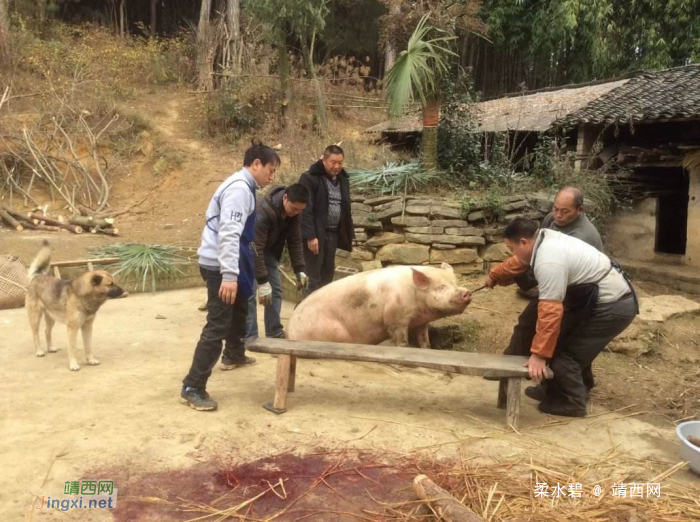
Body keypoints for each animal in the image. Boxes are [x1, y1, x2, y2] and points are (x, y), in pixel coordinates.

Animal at [25, 240, 124, 370]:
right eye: (110, 284)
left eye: (114, 282)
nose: (123, 290)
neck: (82, 295)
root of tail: (37, 276)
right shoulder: (72, 328)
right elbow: (72, 349)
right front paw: (73, 364)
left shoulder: (87, 327)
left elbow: (88, 346)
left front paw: (90, 360)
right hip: (35, 317)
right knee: (35, 334)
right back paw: (39, 351)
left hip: (51, 317)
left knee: (47, 331)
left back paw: (50, 348)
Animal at [288, 264, 474, 346]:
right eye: (441, 287)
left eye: (455, 283)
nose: (466, 291)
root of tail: (290, 330)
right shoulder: (394, 318)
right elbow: (400, 339)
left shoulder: (421, 322)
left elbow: (424, 340)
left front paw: (426, 349)